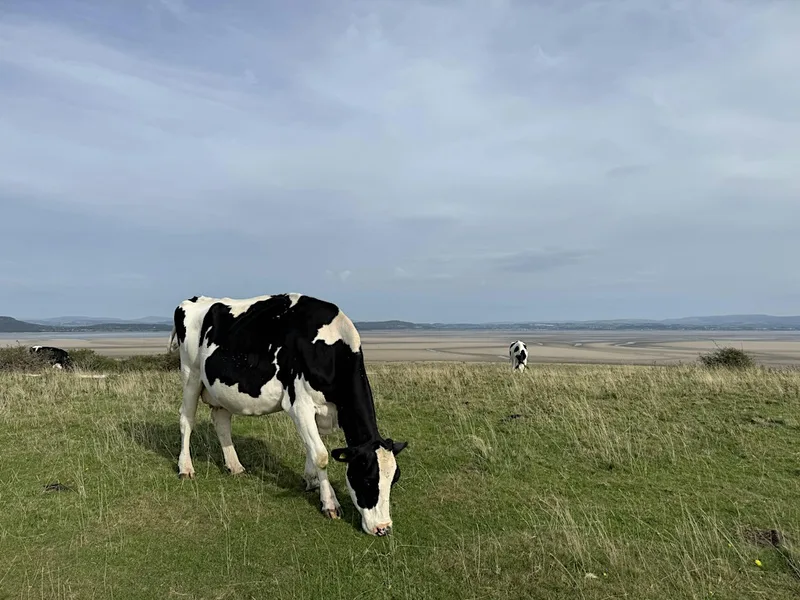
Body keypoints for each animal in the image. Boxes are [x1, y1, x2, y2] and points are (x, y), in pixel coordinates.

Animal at [169, 293, 408, 536]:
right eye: (367, 480)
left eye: (393, 480)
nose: (383, 528)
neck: (328, 345)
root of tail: (195, 299)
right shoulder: (300, 404)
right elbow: (321, 455)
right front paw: (330, 503)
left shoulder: (324, 410)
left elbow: (313, 448)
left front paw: (312, 481)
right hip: (191, 374)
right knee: (186, 419)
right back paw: (186, 468)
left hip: (220, 388)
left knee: (221, 421)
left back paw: (235, 466)